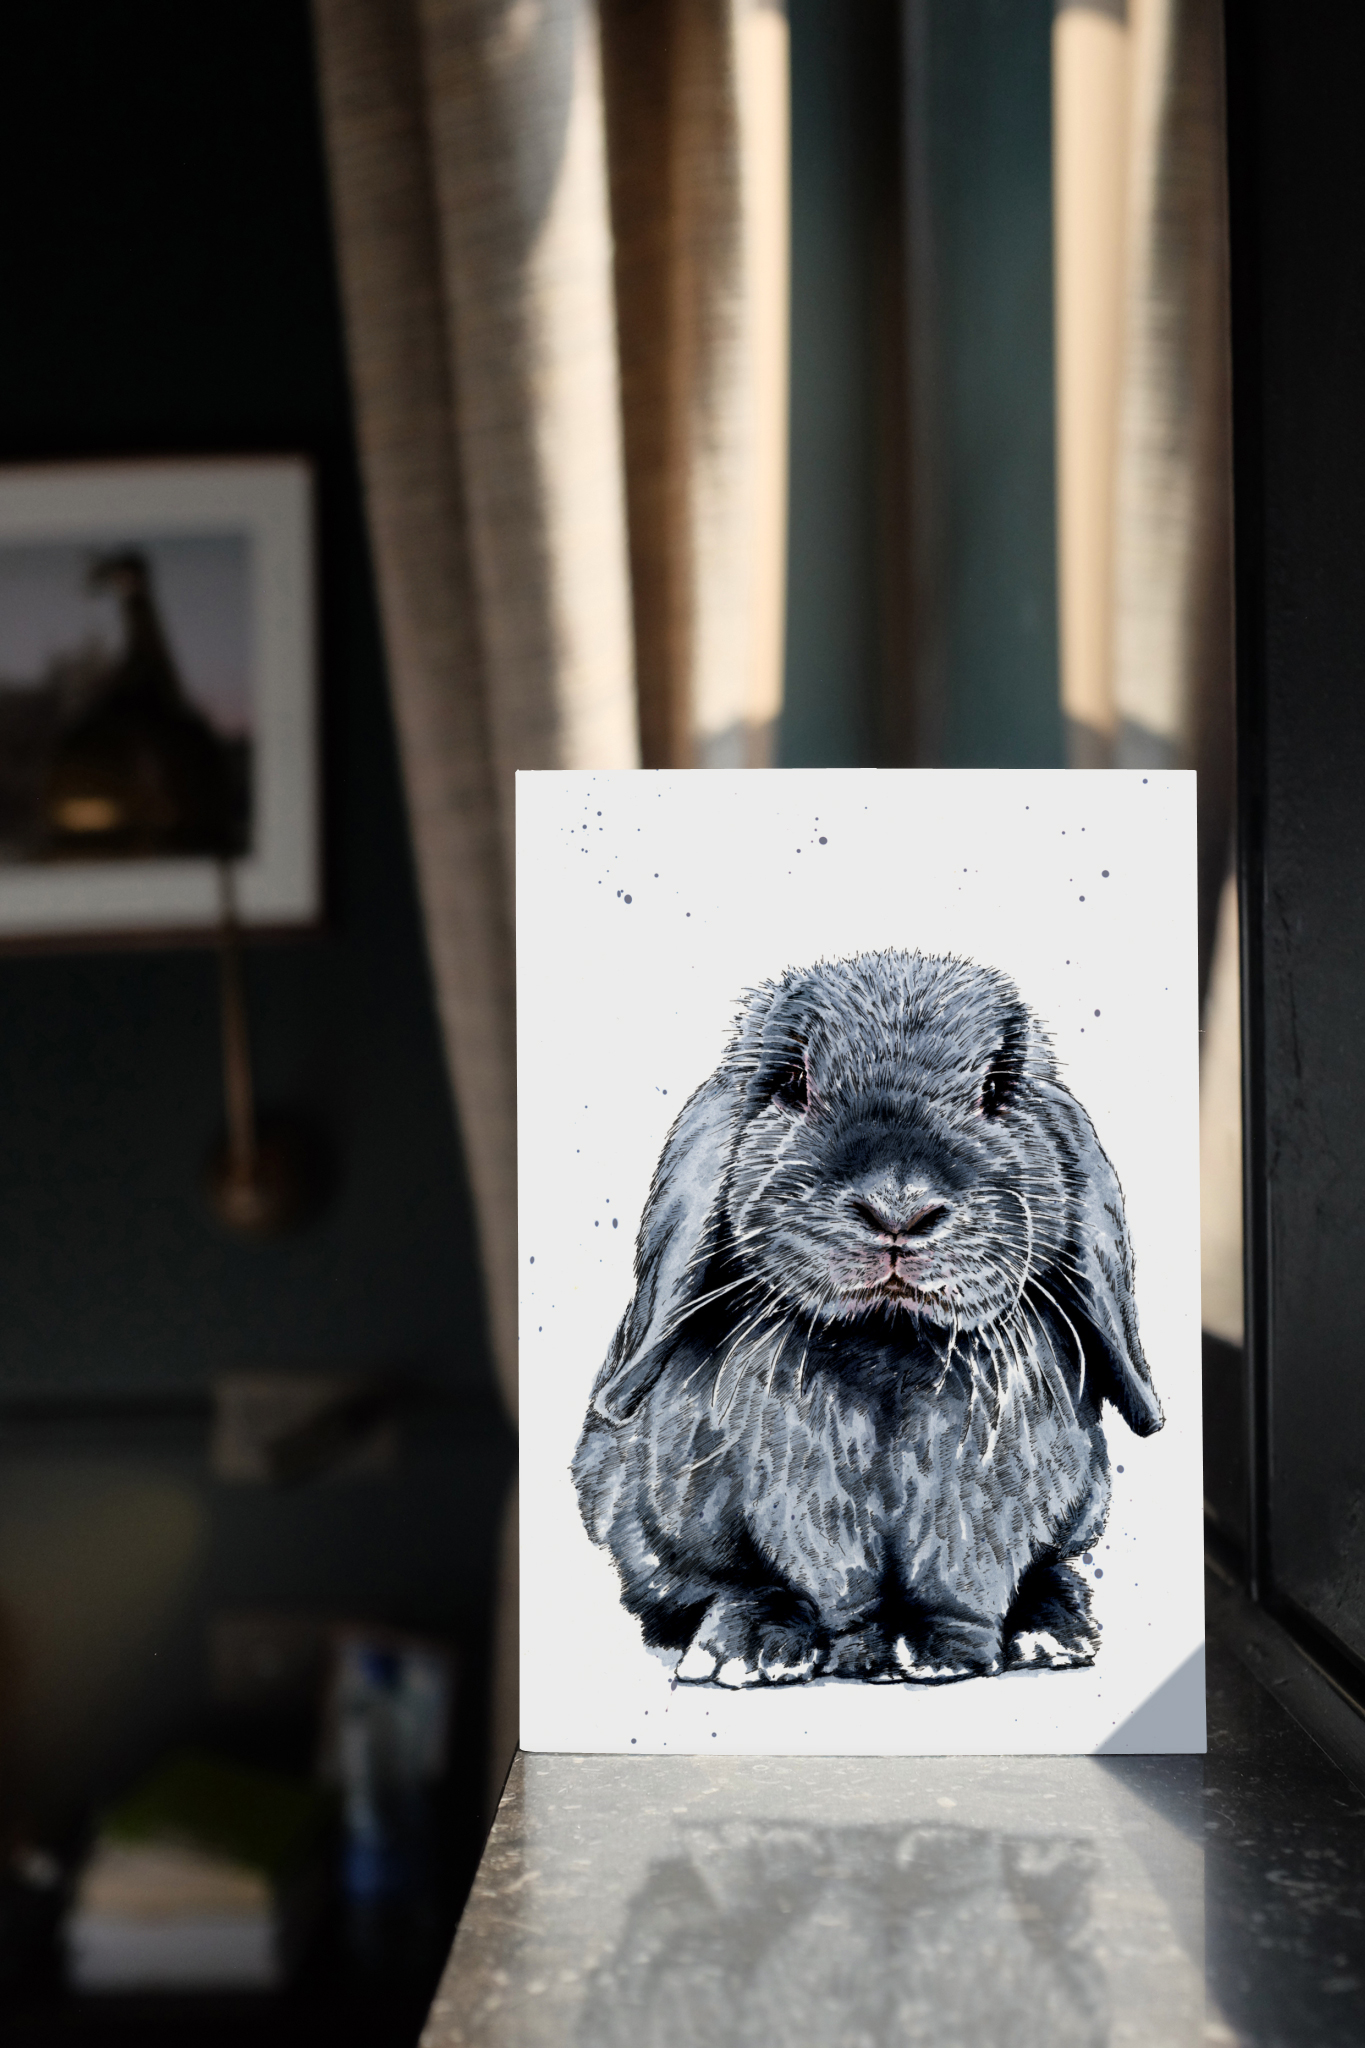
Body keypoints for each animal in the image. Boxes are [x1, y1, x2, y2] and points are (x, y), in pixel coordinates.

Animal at [572, 949, 1164, 1688]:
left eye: (998, 1091)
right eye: (792, 1083)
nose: (897, 1206)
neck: (886, 1352)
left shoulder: (983, 1514)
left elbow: (964, 1581)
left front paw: (938, 1655)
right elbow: (772, 1578)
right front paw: (753, 1649)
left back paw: (1053, 1632)